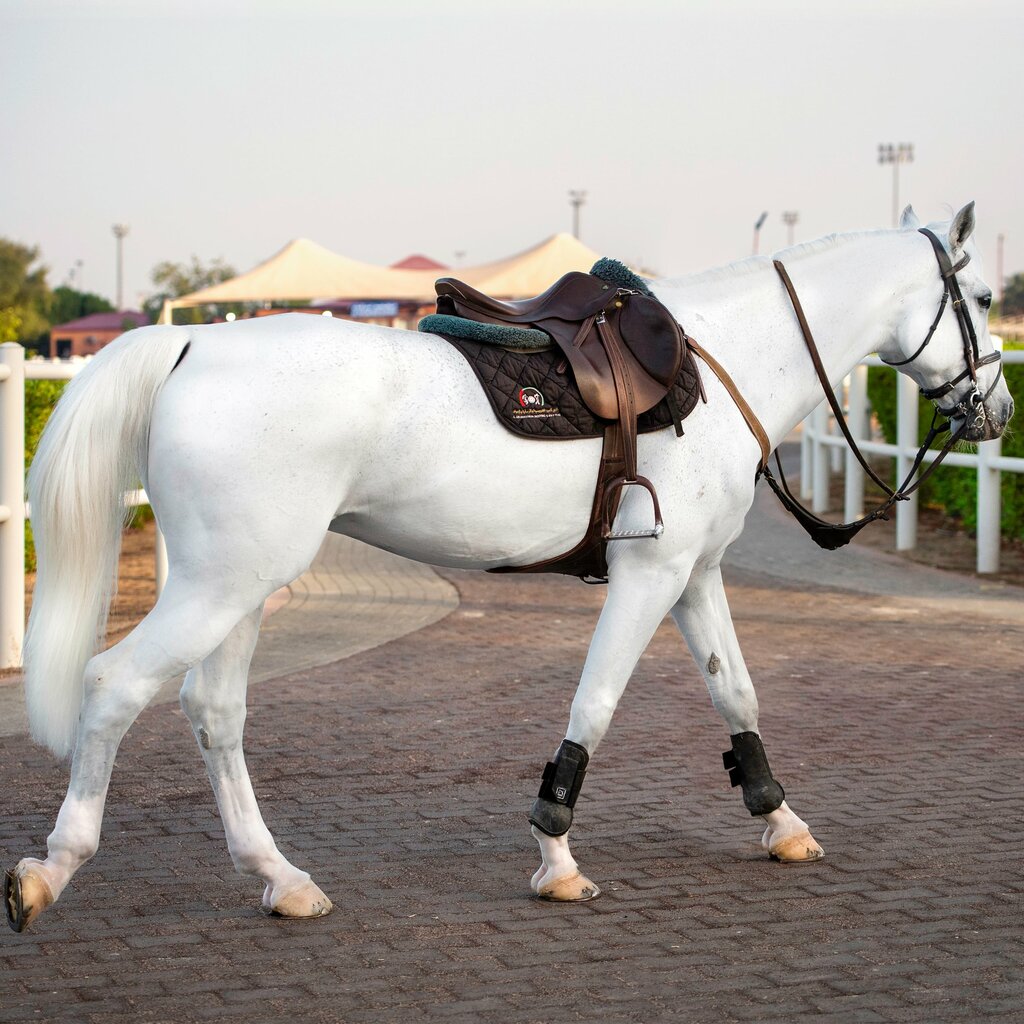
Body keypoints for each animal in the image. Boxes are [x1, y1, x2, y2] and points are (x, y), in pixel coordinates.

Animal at [4, 204, 1013, 932]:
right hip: (218, 587)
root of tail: (190, 343)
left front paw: (779, 817)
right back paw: (49, 872)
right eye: (984, 295)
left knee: (213, 714)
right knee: (114, 686)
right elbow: (594, 706)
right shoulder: (651, 577)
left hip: (239, 587)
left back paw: (280, 877)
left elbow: (737, 693)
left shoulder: (696, 576)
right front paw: (557, 855)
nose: (999, 409)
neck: (722, 364)